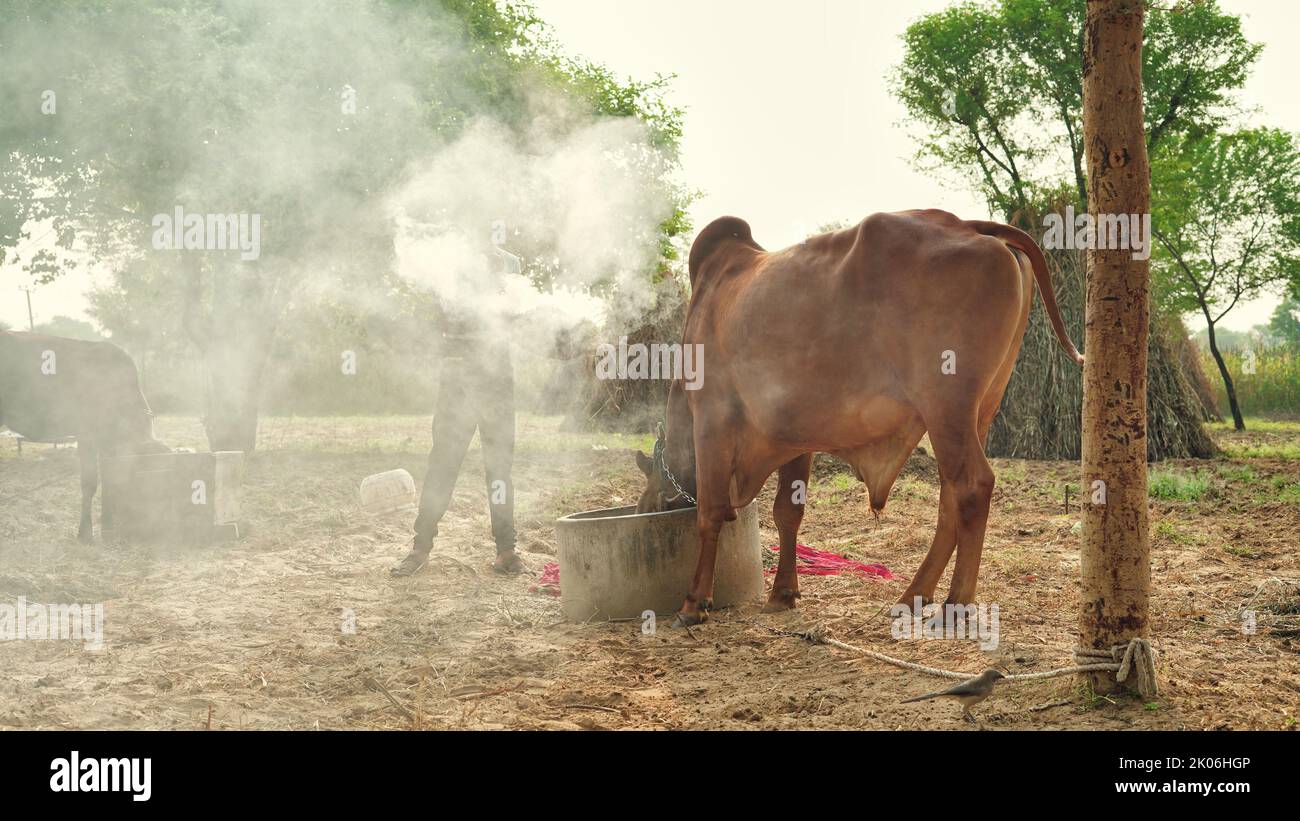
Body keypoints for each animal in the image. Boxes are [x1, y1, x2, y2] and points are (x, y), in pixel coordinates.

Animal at [634, 207, 1081, 626]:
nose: (641, 511)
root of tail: (969, 225)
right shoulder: (794, 436)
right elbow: (787, 513)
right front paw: (783, 593)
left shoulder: (712, 419)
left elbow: (709, 513)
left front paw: (694, 603)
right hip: (979, 411)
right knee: (949, 497)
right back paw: (913, 595)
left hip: (946, 408)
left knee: (972, 486)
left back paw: (955, 603)